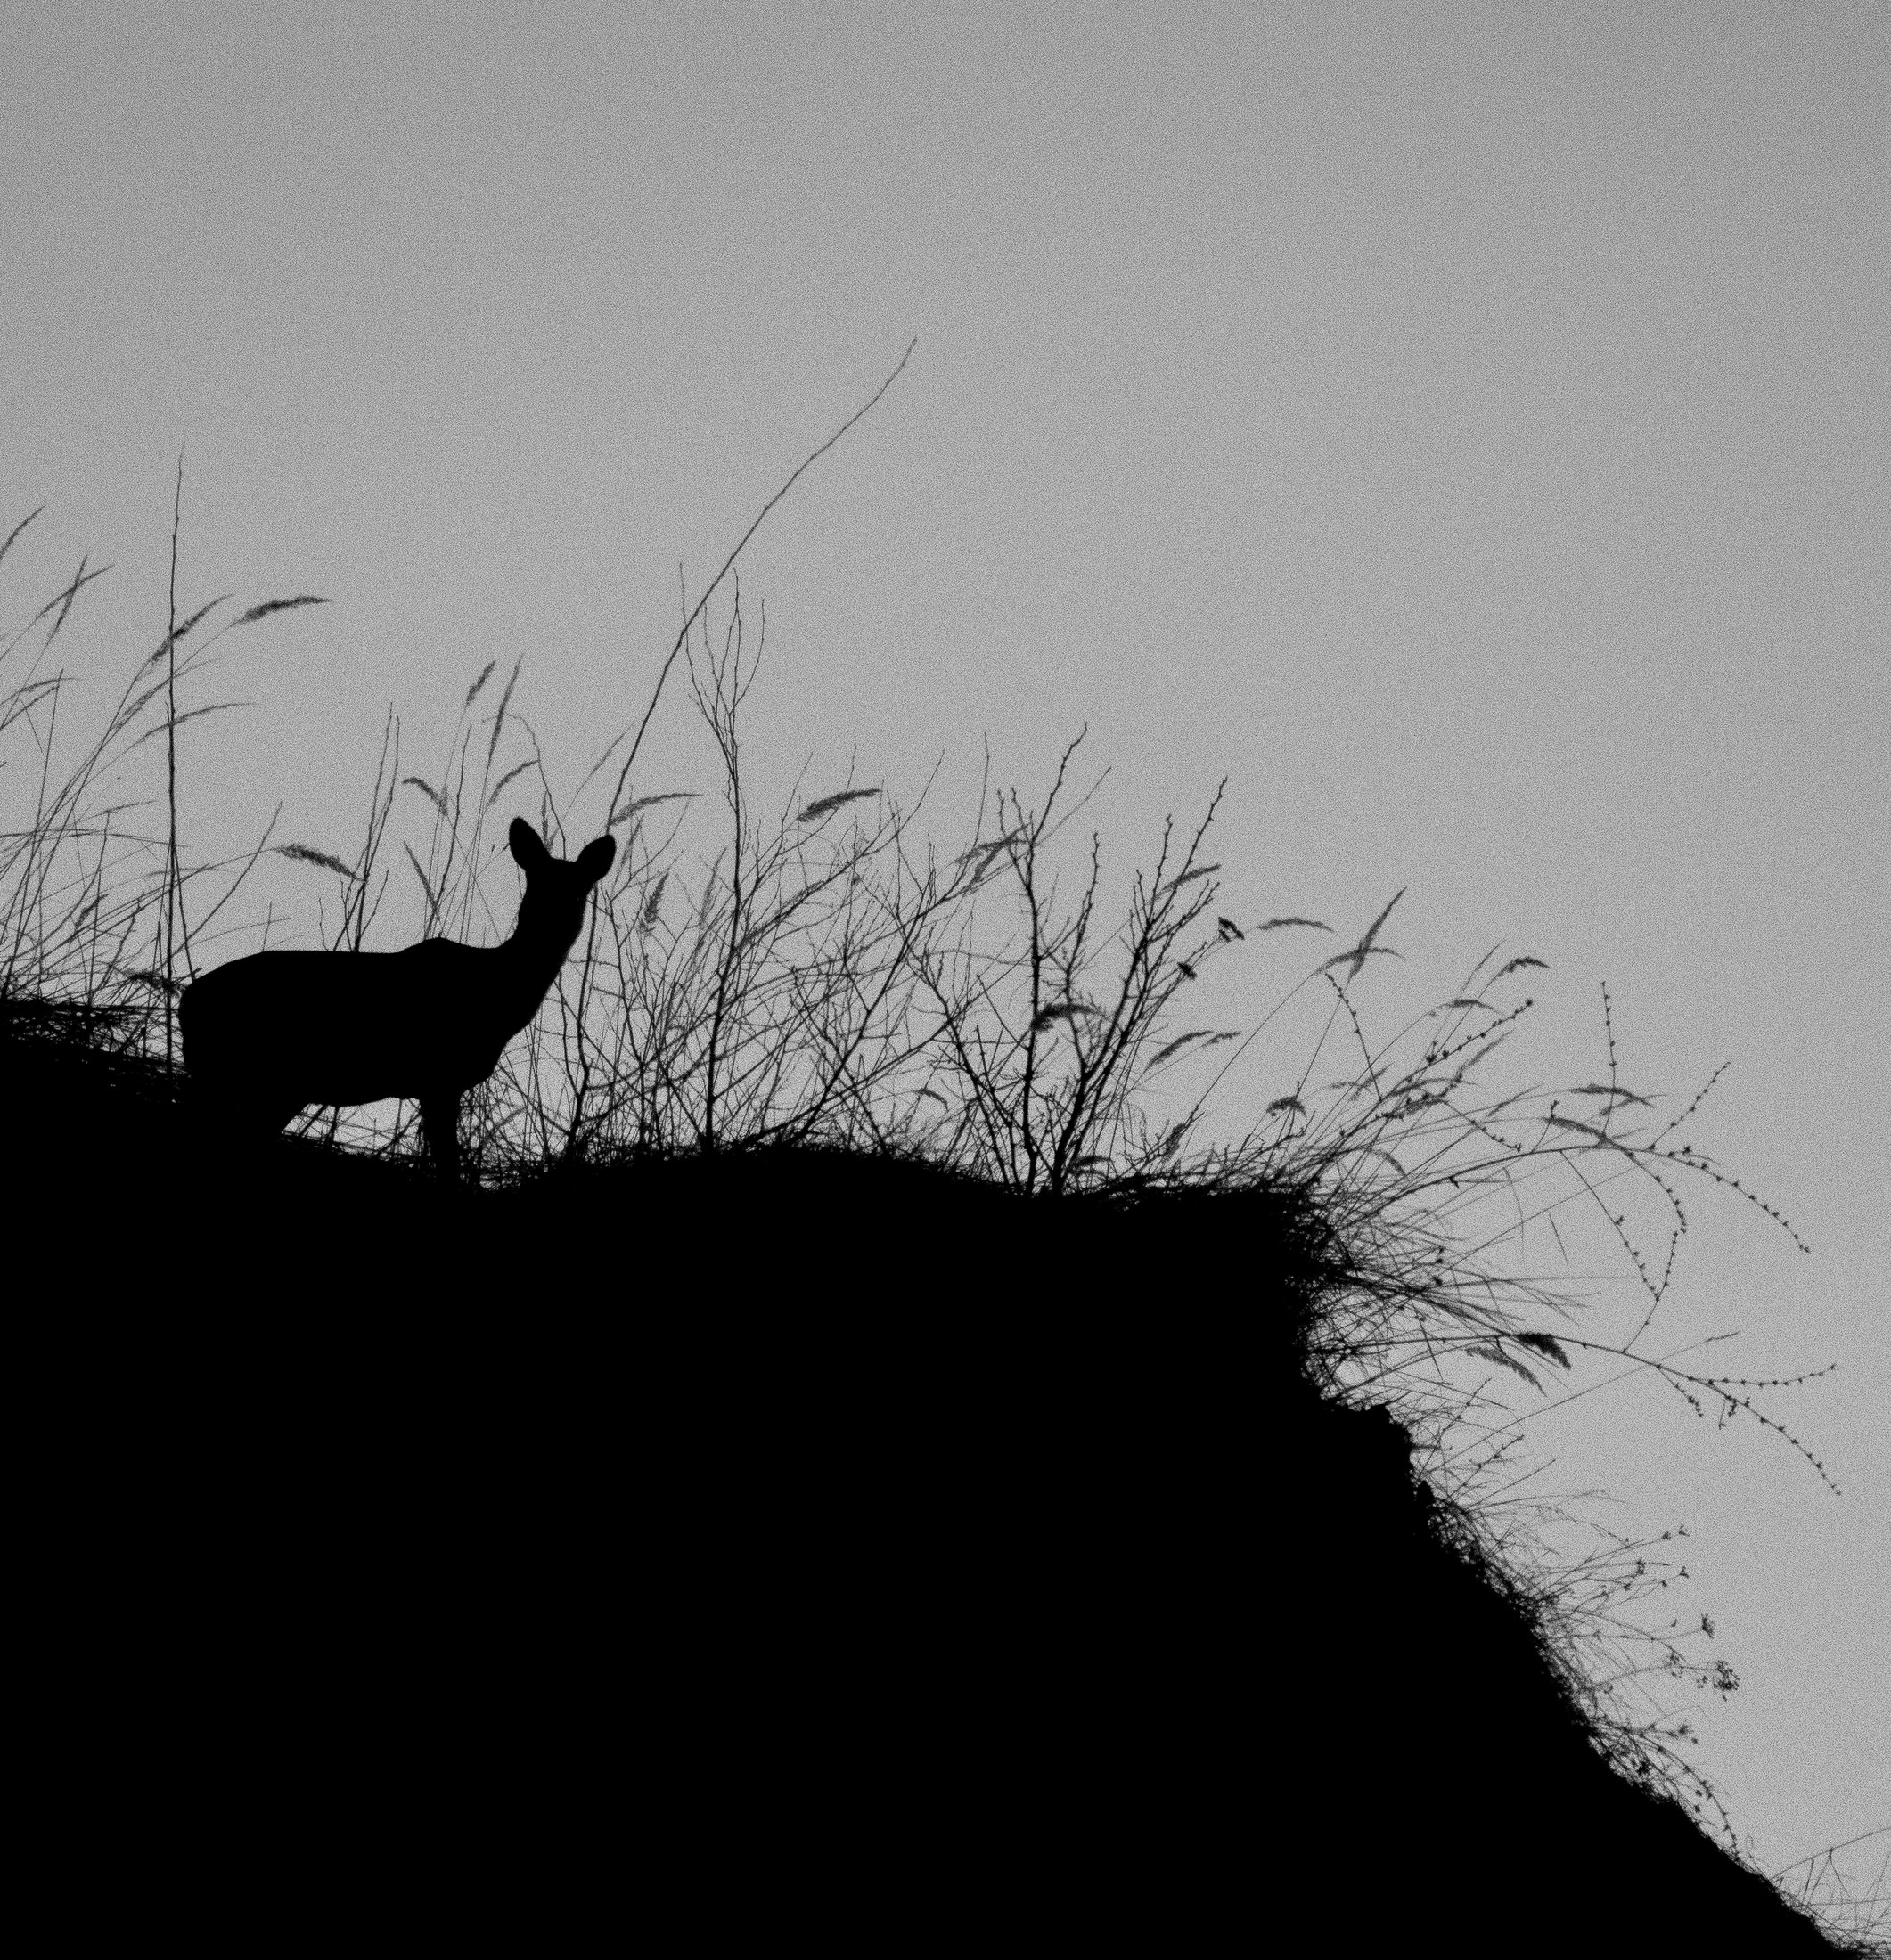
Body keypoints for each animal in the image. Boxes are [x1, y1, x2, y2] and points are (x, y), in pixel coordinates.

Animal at [180, 817, 617, 1181]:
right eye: (536, 884)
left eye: (580, 890)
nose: (556, 920)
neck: (495, 989)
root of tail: (189, 999)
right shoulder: (439, 1077)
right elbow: (448, 1164)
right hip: (243, 1072)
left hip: (266, 1082)